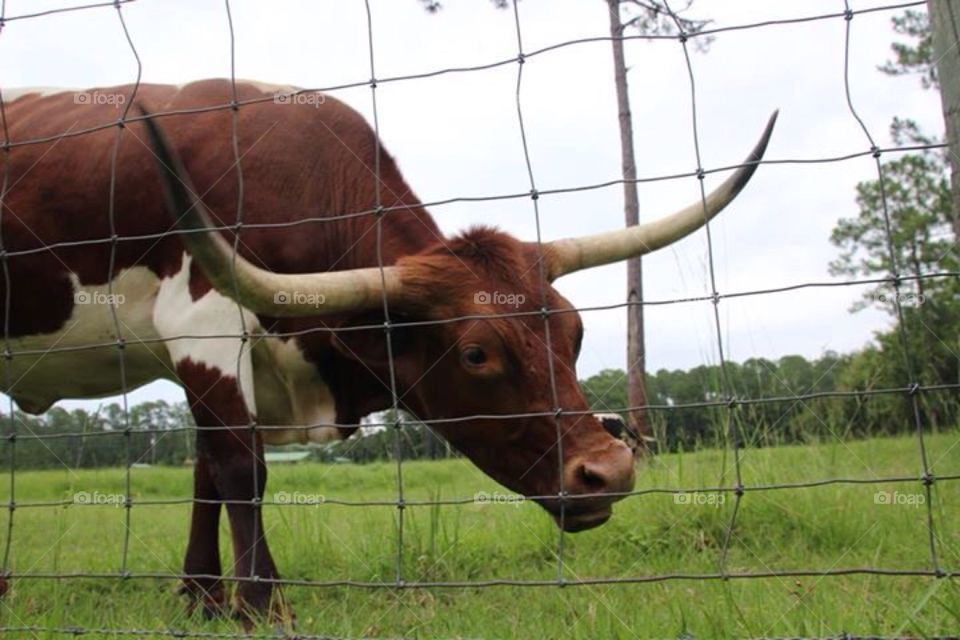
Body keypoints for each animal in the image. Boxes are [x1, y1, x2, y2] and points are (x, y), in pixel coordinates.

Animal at [0, 80, 775, 621]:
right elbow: (241, 468)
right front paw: (262, 607)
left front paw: (202, 600)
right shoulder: (202, 322)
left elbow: (206, 472)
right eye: (476, 355)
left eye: (575, 332)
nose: (608, 472)